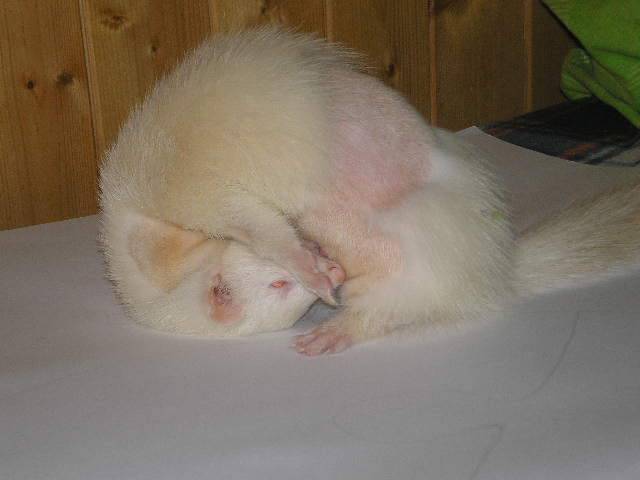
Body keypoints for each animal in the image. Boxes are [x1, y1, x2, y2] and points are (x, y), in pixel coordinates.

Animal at [99, 27, 640, 354]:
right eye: (283, 297)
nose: (332, 278)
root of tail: (500, 264)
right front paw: (319, 268)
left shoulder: (204, 192)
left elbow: (259, 225)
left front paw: (307, 263)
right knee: (390, 307)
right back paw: (338, 327)